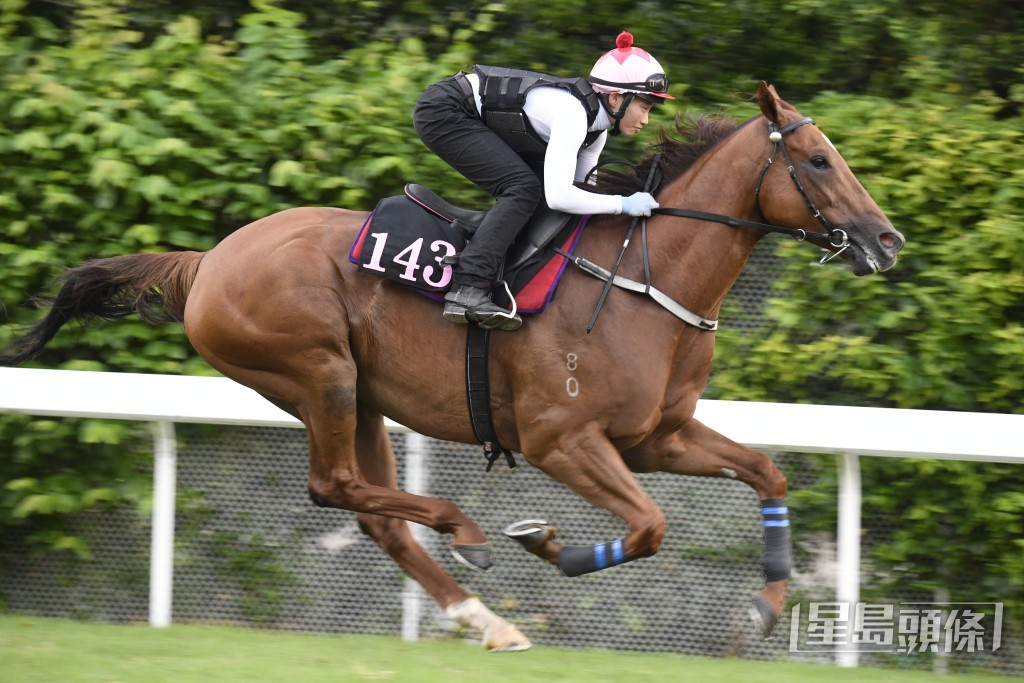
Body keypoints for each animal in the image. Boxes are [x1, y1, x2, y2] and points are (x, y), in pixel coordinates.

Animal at [0, 82, 904, 651]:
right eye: (818, 161)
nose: (887, 239)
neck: (645, 279)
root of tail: (207, 261)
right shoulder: (560, 438)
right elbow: (649, 524)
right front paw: (547, 542)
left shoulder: (658, 435)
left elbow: (767, 472)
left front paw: (765, 607)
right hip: (317, 370)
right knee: (336, 486)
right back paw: (464, 531)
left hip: (360, 396)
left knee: (373, 513)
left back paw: (486, 620)